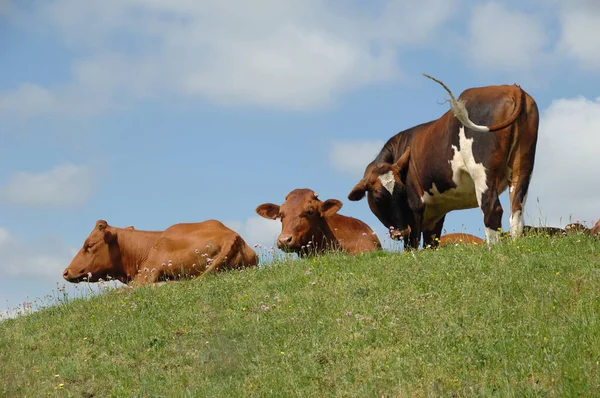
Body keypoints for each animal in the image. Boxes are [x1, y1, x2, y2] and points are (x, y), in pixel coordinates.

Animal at [346, 74, 540, 249]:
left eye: (402, 191)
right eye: (378, 196)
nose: (401, 231)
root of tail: (511, 88)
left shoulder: (415, 208)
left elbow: (412, 244)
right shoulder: (435, 216)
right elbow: (431, 244)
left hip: (482, 172)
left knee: (492, 209)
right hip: (523, 166)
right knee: (516, 210)